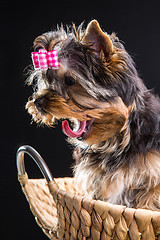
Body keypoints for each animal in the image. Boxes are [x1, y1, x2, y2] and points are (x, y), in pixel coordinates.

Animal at [25, 19, 160, 209]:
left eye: (70, 81)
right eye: (46, 81)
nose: (38, 102)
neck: (119, 138)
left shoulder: (153, 177)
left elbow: (149, 201)